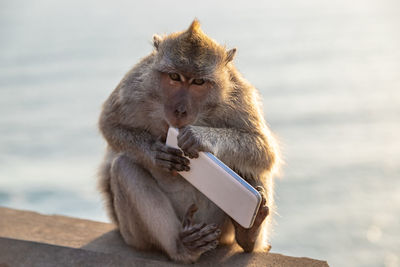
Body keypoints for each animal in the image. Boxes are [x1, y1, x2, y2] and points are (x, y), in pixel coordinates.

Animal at [98, 19, 280, 264]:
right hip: (134, 235)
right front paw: (156, 153)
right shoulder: (134, 85)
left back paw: (249, 234)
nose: (180, 110)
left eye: (198, 82)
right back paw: (183, 247)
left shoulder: (239, 94)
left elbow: (263, 149)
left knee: (250, 163)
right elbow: (110, 124)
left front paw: (200, 137)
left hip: (221, 229)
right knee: (123, 166)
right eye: (175, 77)